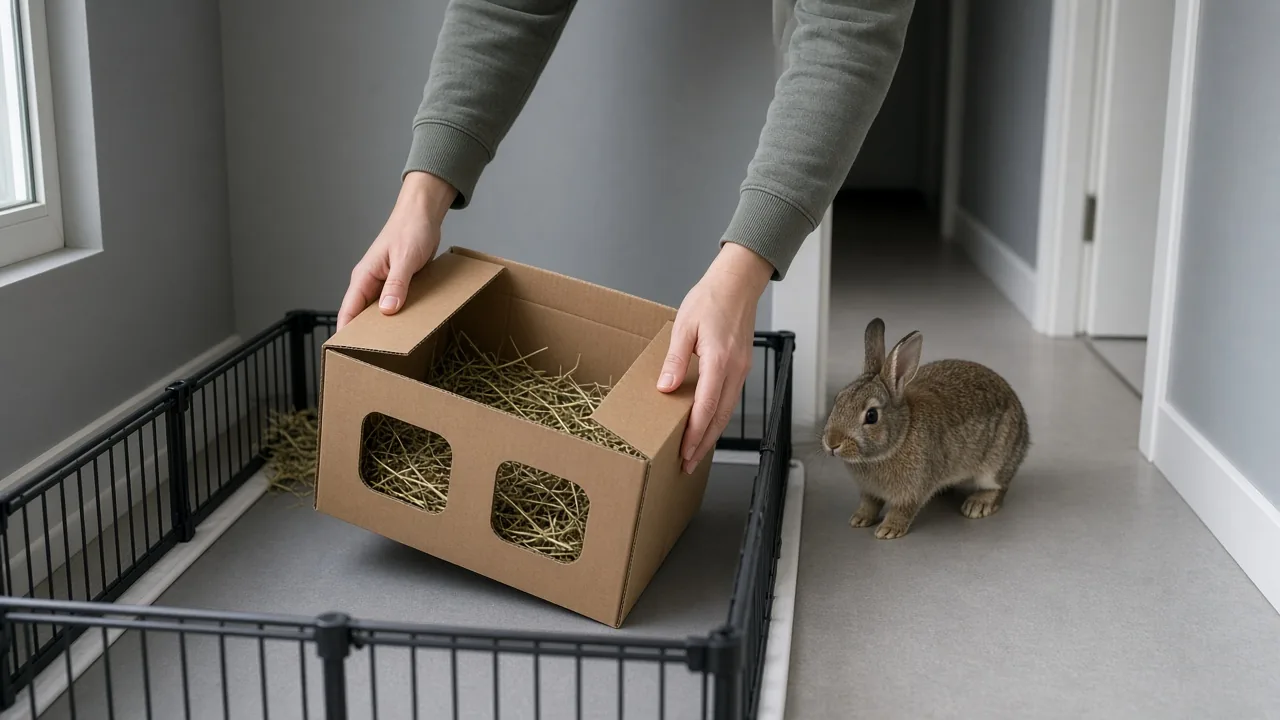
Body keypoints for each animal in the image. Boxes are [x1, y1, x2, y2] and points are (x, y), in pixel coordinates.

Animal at [822, 318, 1031, 540]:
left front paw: (888, 530)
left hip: (995, 465)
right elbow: (869, 504)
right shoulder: (869, 491)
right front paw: (859, 519)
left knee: (999, 488)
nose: (832, 443)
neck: (900, 436)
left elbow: (902, 510)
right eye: (838, 400)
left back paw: (977, 505)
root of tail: (1024, 429)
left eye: (871, 416)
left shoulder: (913, 490)